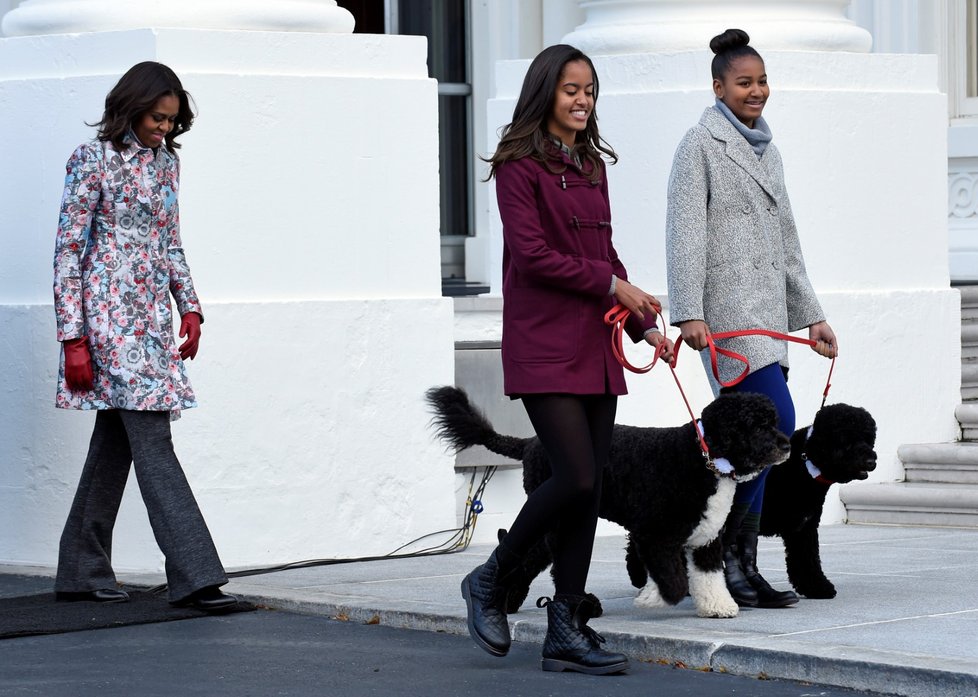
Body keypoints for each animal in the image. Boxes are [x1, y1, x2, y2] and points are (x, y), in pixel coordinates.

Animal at [424, 386, 788, 620]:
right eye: (755, 425)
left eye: (773, 420)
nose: (786, 444)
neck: (702, 459)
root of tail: (529, 444)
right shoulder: (653, 535)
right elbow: (673, 580)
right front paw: (651, 598)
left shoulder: (706, 539)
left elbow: (708, 577)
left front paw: (717, 605)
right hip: (557, 518)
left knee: (534, 557)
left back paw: (514, 600)